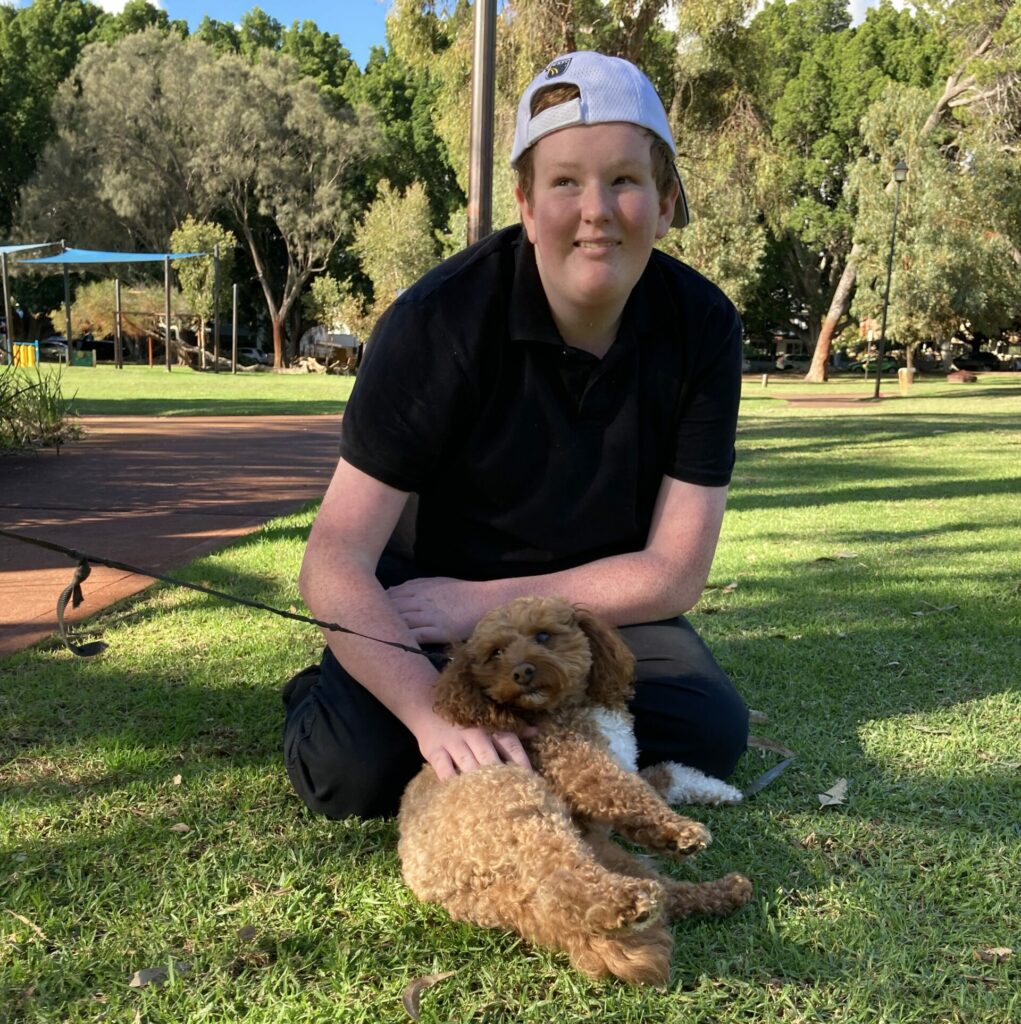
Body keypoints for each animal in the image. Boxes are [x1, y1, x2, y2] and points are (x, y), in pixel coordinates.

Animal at [397, 598, 749, 987]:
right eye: (496, 652)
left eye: (543, 635)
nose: (522, 672)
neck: (563, 707)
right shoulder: (582, 767)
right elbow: (632, 794)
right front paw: (682, 832)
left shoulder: (624, 763)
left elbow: (667, 773)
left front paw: (719, 790)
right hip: (517, 800)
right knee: (563, 883)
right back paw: (628, 902)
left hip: (594, 851)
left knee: (662, 892)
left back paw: (725, 891)